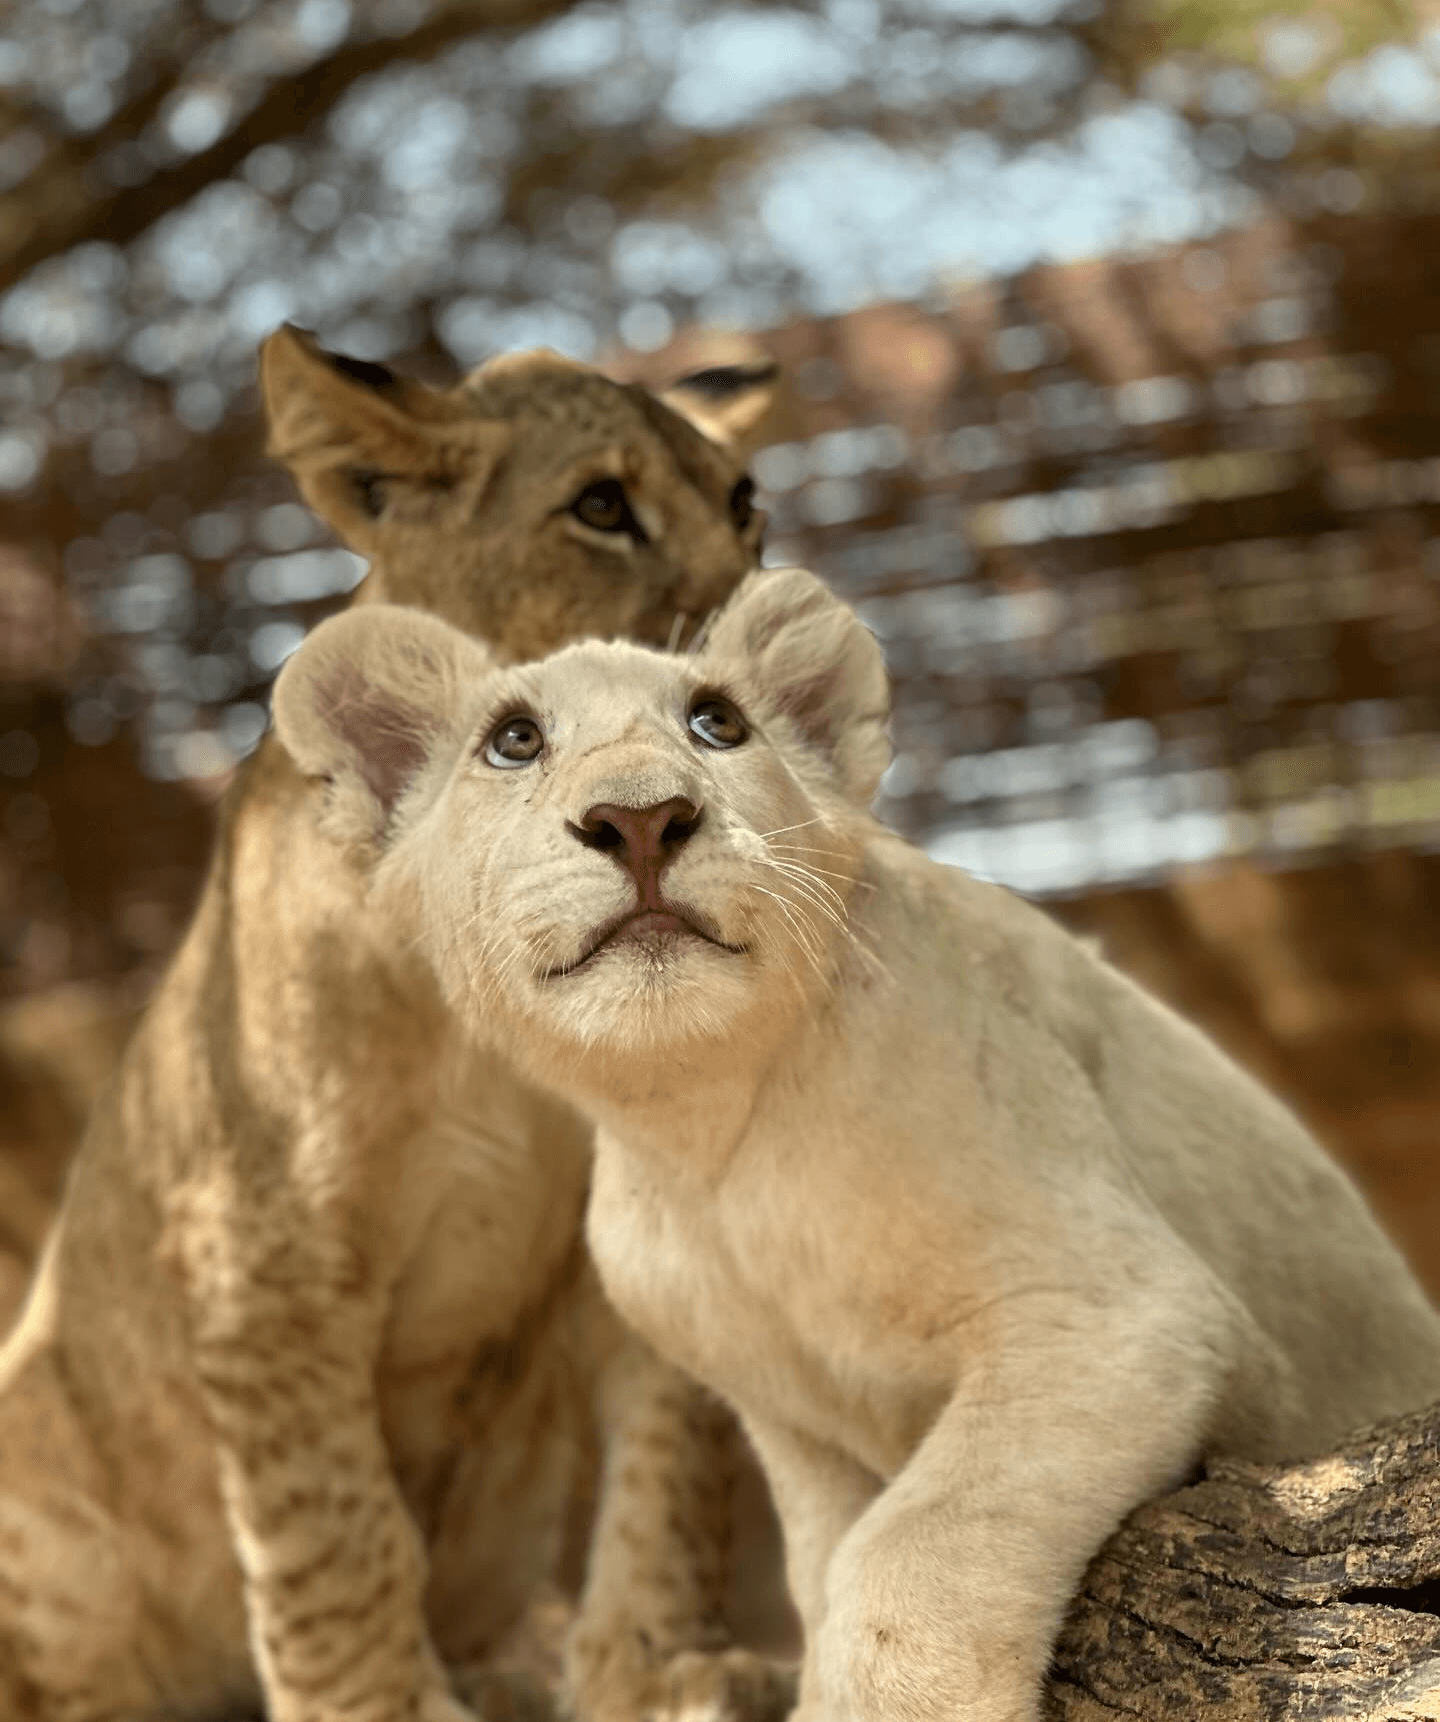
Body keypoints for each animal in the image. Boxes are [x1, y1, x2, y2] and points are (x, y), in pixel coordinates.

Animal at [0, 333, 791, 1722]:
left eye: (747, 507)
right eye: (601, 507)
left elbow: (671, 1458)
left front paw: (657, 1670)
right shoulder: (260, 1247)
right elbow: (334, 1527)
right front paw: (381, 1705)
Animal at [272, 566, 1440, 1722]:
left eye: (717, 722)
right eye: (514, 740)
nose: (641, 818)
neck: (705, 1131)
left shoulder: (1110, 1308)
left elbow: (906, 1556)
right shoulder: (795, 1422)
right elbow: (826, 1565)